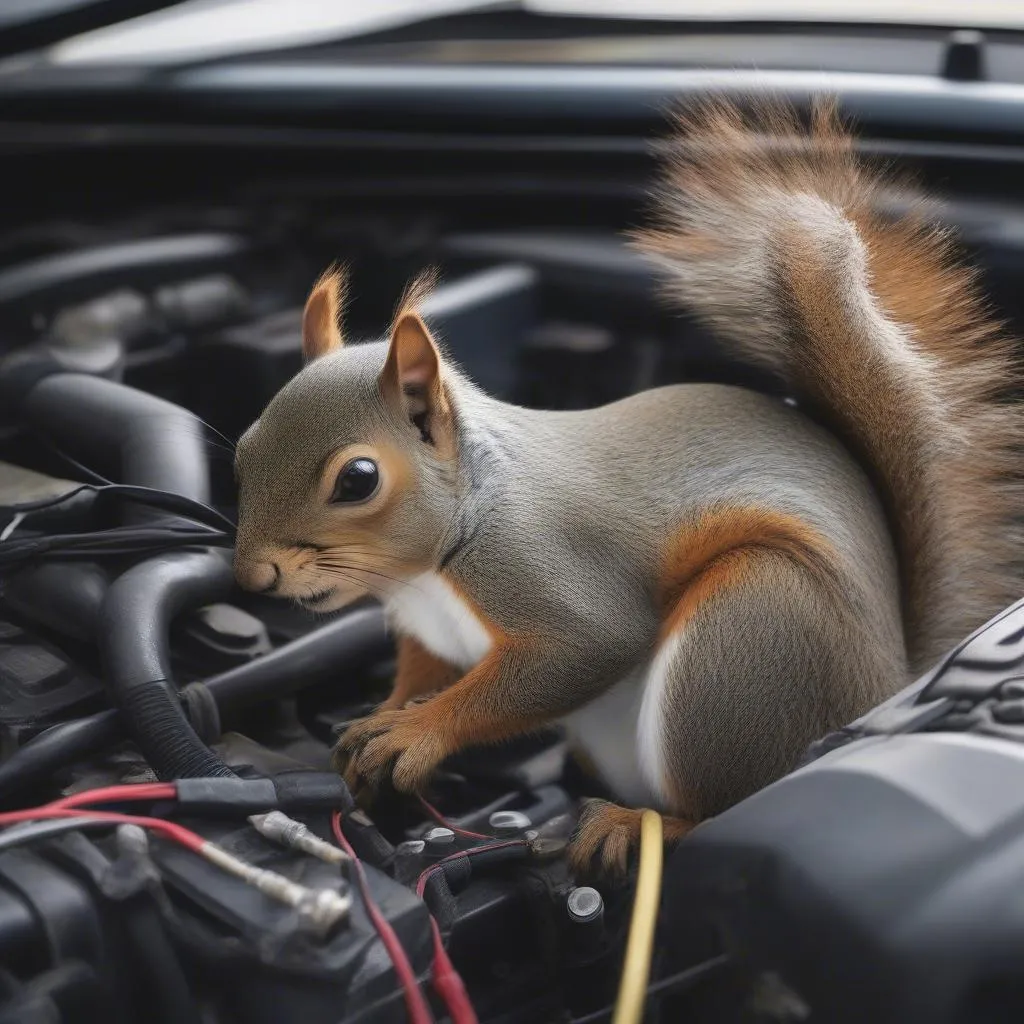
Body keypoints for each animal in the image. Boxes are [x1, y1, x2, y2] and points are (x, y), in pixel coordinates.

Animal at [232, 97, 1024, 872]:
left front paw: (415, 733)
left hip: (748, 636)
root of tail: (887, 682)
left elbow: (578, 651)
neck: (436, 563)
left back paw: (636, 826)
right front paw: (380, 717)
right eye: (242, 449)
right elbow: (426, 672)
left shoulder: (550, 569)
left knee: (713, 803)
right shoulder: (435, 636)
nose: (253, 575)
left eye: (357, 479)